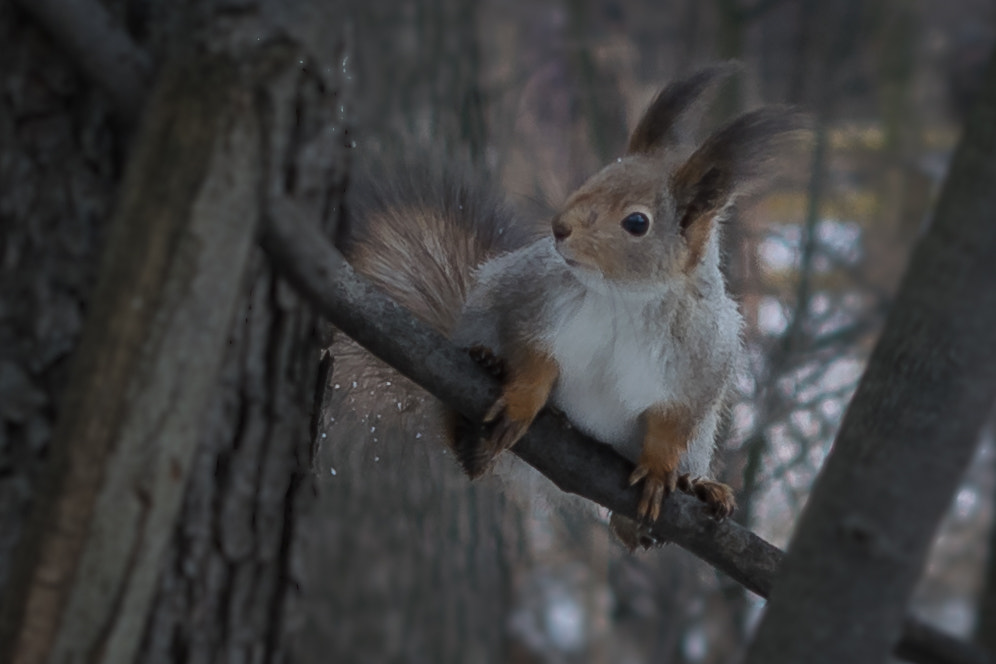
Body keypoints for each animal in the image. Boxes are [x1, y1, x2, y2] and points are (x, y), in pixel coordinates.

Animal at [330, 65, 804, 548]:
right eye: (594, 178)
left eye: (637, 222)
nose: (559, 228)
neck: (625, 297)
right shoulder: (531, 299)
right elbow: (533, 357)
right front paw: (522, 398)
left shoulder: (702, 361)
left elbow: (674, 422)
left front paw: (658, 469)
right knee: (468, 453)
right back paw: (485, 387)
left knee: (637, 520)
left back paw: (696, 488)